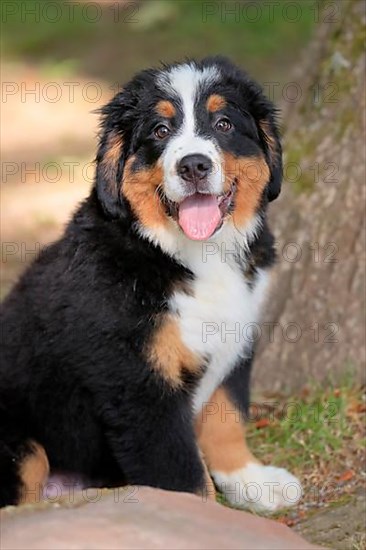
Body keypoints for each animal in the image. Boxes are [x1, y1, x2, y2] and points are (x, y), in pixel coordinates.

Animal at [0, 57, 302, 512]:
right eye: (160, 131)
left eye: (224, 124)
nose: (193, 165)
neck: (191, 256)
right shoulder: (139, 384)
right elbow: (181, 472)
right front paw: (201, 517)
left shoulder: (237, 336)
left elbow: (226, 417)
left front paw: (252, 481)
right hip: (22, 444)